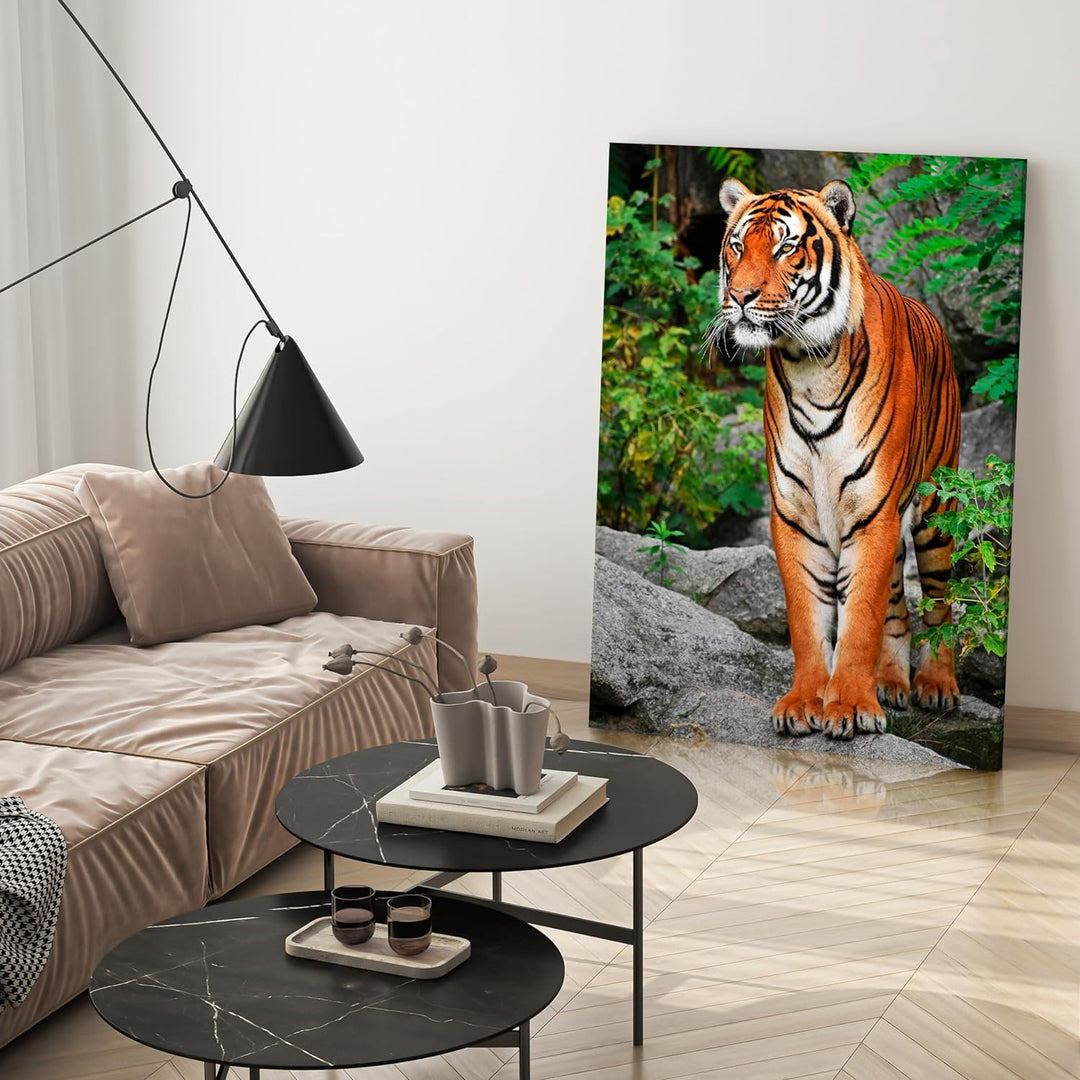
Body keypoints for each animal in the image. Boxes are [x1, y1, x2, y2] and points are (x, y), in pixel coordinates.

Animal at [710, 177, 961, 740]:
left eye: (785, 247)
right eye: (736, 245)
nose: (739, 297)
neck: (809, 365)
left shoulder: (874, 513)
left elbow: (859, 616)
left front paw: (846, 706)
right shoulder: (794, 516)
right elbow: (809, 619)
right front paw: (805, 702)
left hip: (935, 510)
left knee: (938, 601)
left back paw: (936, 685)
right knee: (898, 606)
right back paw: (890, 682)